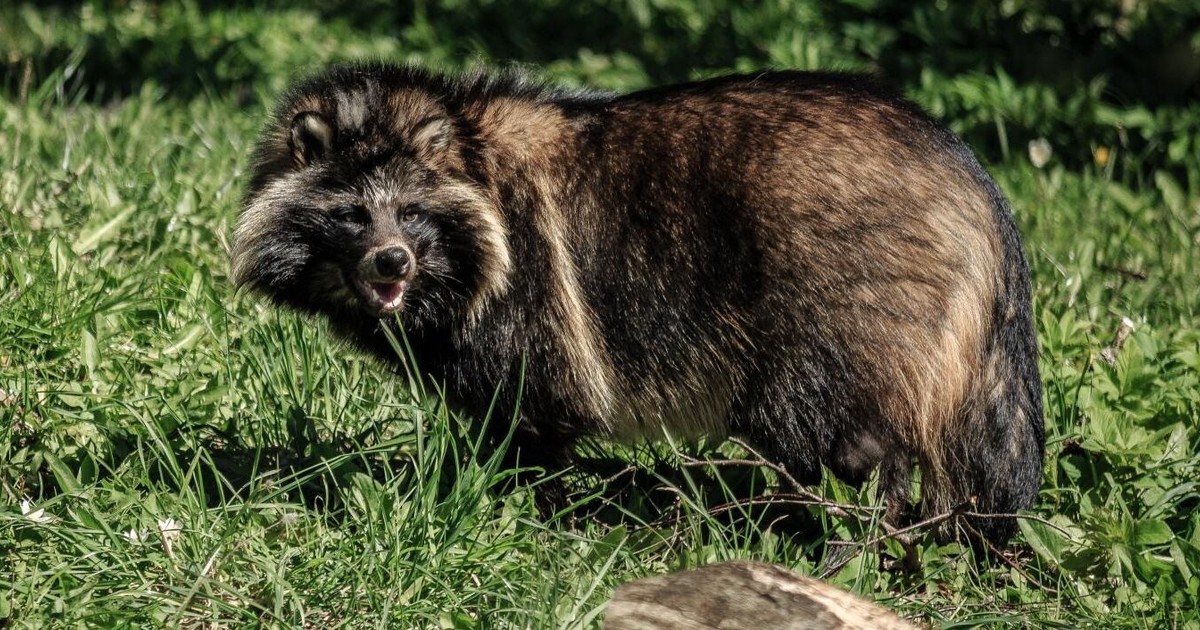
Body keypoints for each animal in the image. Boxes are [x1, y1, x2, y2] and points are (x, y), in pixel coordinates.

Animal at [232, 63, 1044, 543]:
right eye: (352, 215)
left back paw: (853, 520)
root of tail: (971, 183)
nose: (391, 259)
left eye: (411, 212)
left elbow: (532, 411)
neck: (468, 144)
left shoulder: (530, 292)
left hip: (846, 292)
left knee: (841, 430)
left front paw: (514, 503)